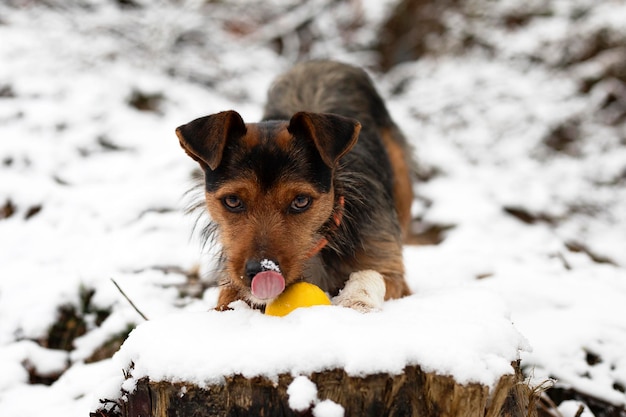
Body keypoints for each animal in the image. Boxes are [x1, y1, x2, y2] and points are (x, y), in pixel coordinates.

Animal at [174, 60, 414, 310]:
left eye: (300, 201)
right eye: (232, 201)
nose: (262, 271)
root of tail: (323, 61)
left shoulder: (386, 263)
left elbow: (371, 274)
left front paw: (355, 300)